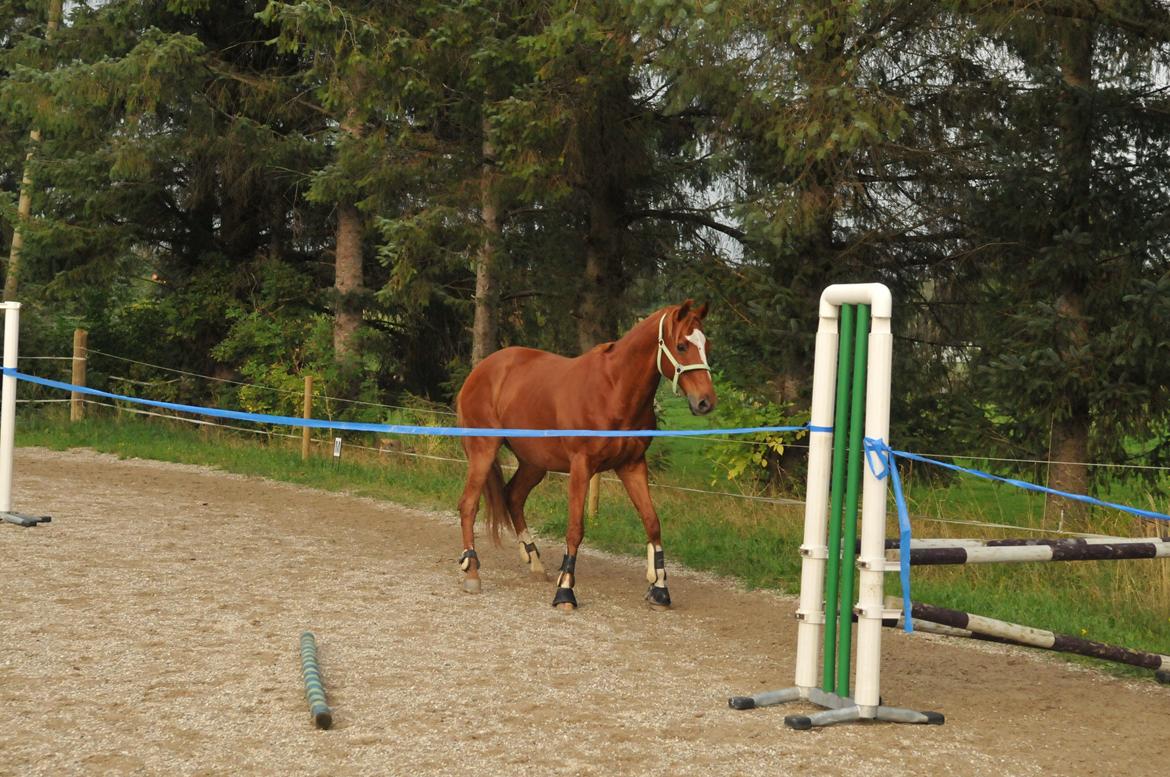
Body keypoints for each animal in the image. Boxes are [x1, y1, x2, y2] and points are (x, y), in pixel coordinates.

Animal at [453, 299, 711, 608]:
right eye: (682, 346)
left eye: (706, 345)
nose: (706, 401)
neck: (613, 390)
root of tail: (480, 372)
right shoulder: (581, 466)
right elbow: (575, 529)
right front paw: (565, 590)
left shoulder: (633, 465)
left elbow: (652, 522)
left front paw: (660, 588)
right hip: (483, 450)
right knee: (469, 504)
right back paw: (472, 573)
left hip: (534, 462)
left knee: (513, 496)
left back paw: (535, 561)